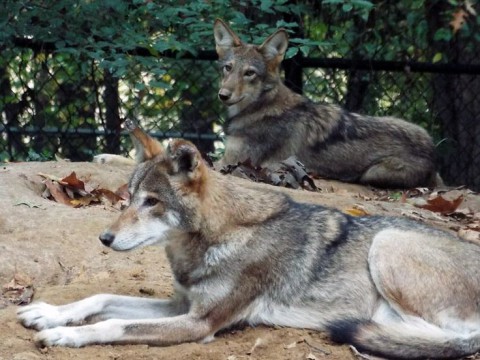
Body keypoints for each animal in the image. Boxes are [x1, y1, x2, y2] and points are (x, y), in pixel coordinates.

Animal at [16, 124, 480, 360]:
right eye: (129, 198)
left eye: (152, 203)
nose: (105, 238)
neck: (216, 238)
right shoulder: (182, 304)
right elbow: (101, 298)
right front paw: (47, 313)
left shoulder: (199, 323)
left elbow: (113, 324)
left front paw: (63, 335)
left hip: (387, 242)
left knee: (432, 337)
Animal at [214, 17, 438, 188]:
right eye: (228, 68)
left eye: (249, 73)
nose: (223, 95)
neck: (262, 107)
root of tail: (432, 152)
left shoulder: (231, 161)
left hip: (373, 173)